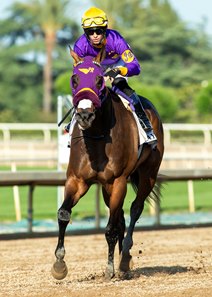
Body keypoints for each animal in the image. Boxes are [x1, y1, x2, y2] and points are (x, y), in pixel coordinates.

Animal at [51, 46, 164, 280]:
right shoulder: (77, 180)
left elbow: (111, 228)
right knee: (120, 217)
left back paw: (125, 259)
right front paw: (59, 264)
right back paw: (123, 260)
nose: (85, 115)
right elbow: (64, 214)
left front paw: (110, 269)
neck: (97, 137)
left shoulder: (118, 181)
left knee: (135, 209)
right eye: (74, 79)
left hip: (148, 174)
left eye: (99, 80)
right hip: (106, 187)